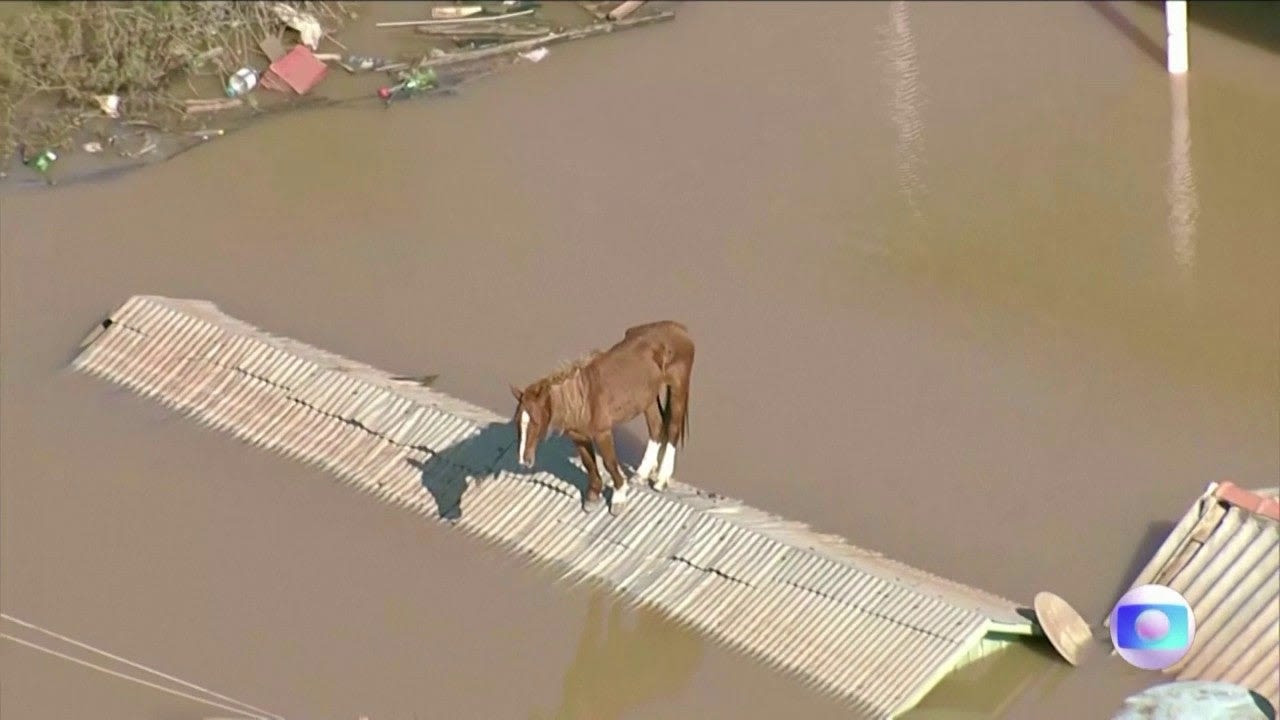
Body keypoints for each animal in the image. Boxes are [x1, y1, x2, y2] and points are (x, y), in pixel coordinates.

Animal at [509, 317, 696, 509]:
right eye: (517, 421)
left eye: (536, 421)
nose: (523, 460)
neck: (582, 398)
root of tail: (679, 328)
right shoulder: (578, 436)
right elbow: (589, 463)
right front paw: (593, 495)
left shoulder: (602, 433)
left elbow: (609, 463)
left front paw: (619, 497)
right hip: (648, 397)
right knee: (656, 427)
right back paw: (641, 474)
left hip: (678, 387)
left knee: (672, 429)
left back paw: (661, 480)